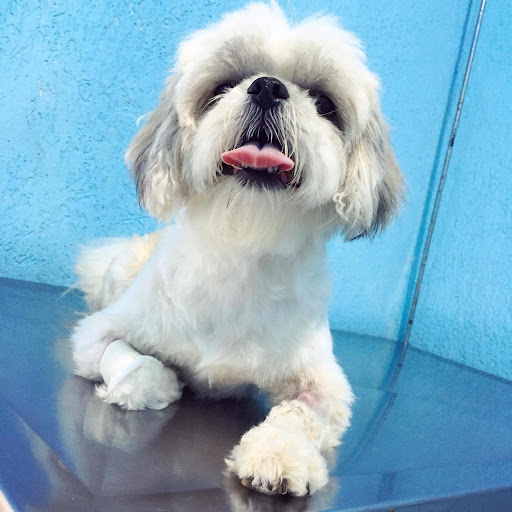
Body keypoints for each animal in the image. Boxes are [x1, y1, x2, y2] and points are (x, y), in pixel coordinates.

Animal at [71, 2, 404, 497]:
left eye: (324, 102)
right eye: (221, 88)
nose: (268, 86)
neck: (243, 252)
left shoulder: (324, 383)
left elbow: (300, 414)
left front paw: (278, 454)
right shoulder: (96, 335)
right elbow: (125, 357)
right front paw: (153, 384)